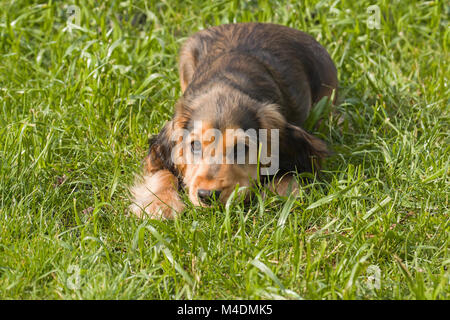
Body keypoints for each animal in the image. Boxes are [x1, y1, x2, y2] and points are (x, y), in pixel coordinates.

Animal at [130, 21, 338, 218]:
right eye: (195, 145)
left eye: (240, 148)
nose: (207, 195)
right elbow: (163, 170)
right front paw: (160, 204)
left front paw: (277, 193)